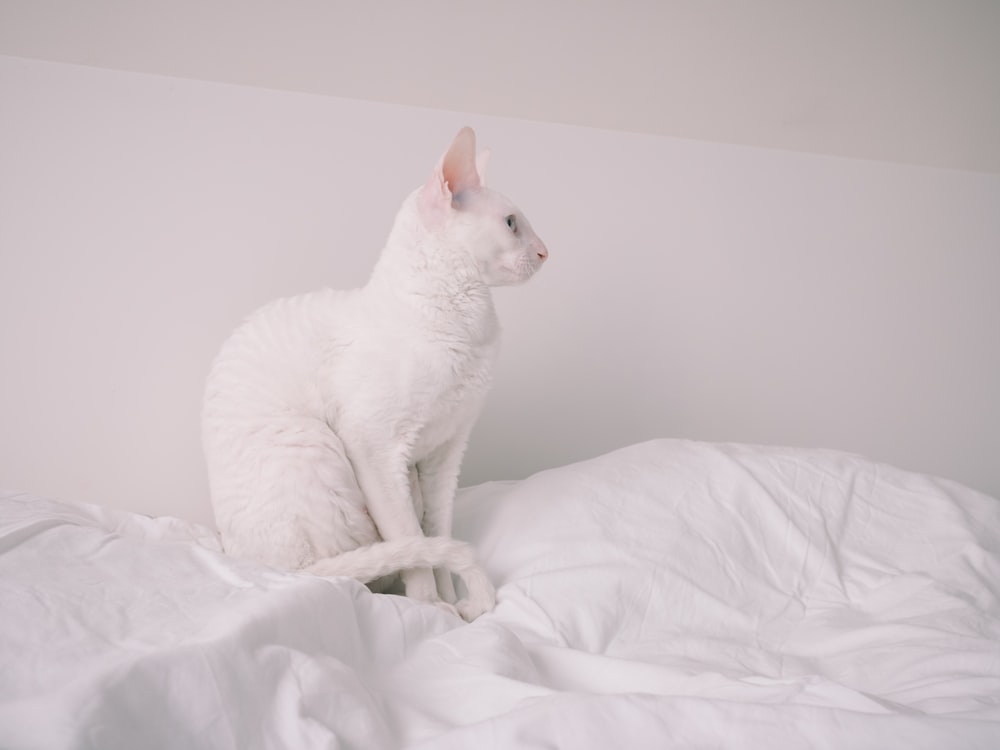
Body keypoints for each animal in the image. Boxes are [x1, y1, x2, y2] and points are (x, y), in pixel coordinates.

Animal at [201, 129, 548, 624]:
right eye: (512, 223)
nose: (545, 251)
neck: (469, 326)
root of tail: (275, 568)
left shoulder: (444, 454)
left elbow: (436, 534)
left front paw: (451, 601)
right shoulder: (375, 448)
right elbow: (414, 544)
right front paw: (432, 609)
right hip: (313, 444)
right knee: (359, 570)